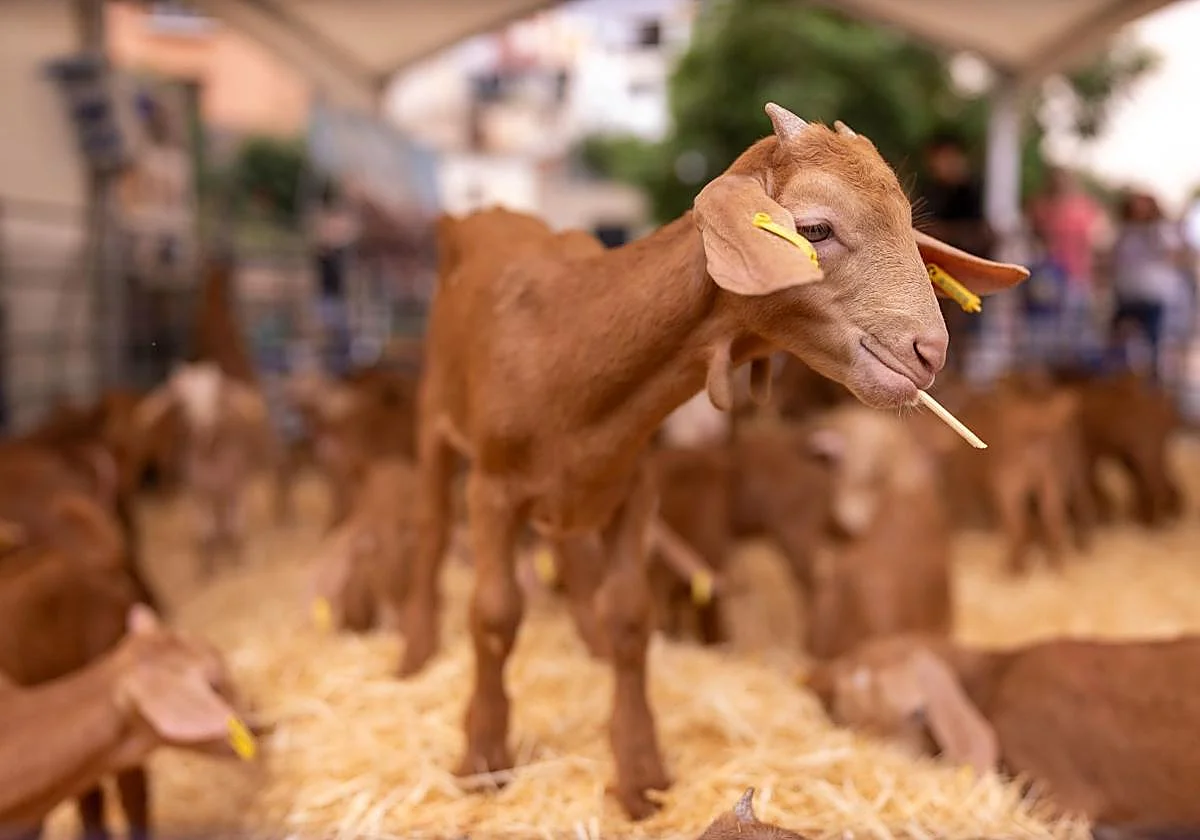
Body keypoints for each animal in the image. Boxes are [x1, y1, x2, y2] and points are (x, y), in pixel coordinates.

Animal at [406, 103, 1028, 818]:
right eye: (815, 228)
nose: (930, 351)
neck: (572, 345)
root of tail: (489, 213)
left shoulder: (633, 486)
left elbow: (630, 617)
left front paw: (641, 773)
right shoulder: (493, 490)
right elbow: (494, 613)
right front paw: (482, 759)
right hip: (435, 420)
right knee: (430, 528)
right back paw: (414, 653)